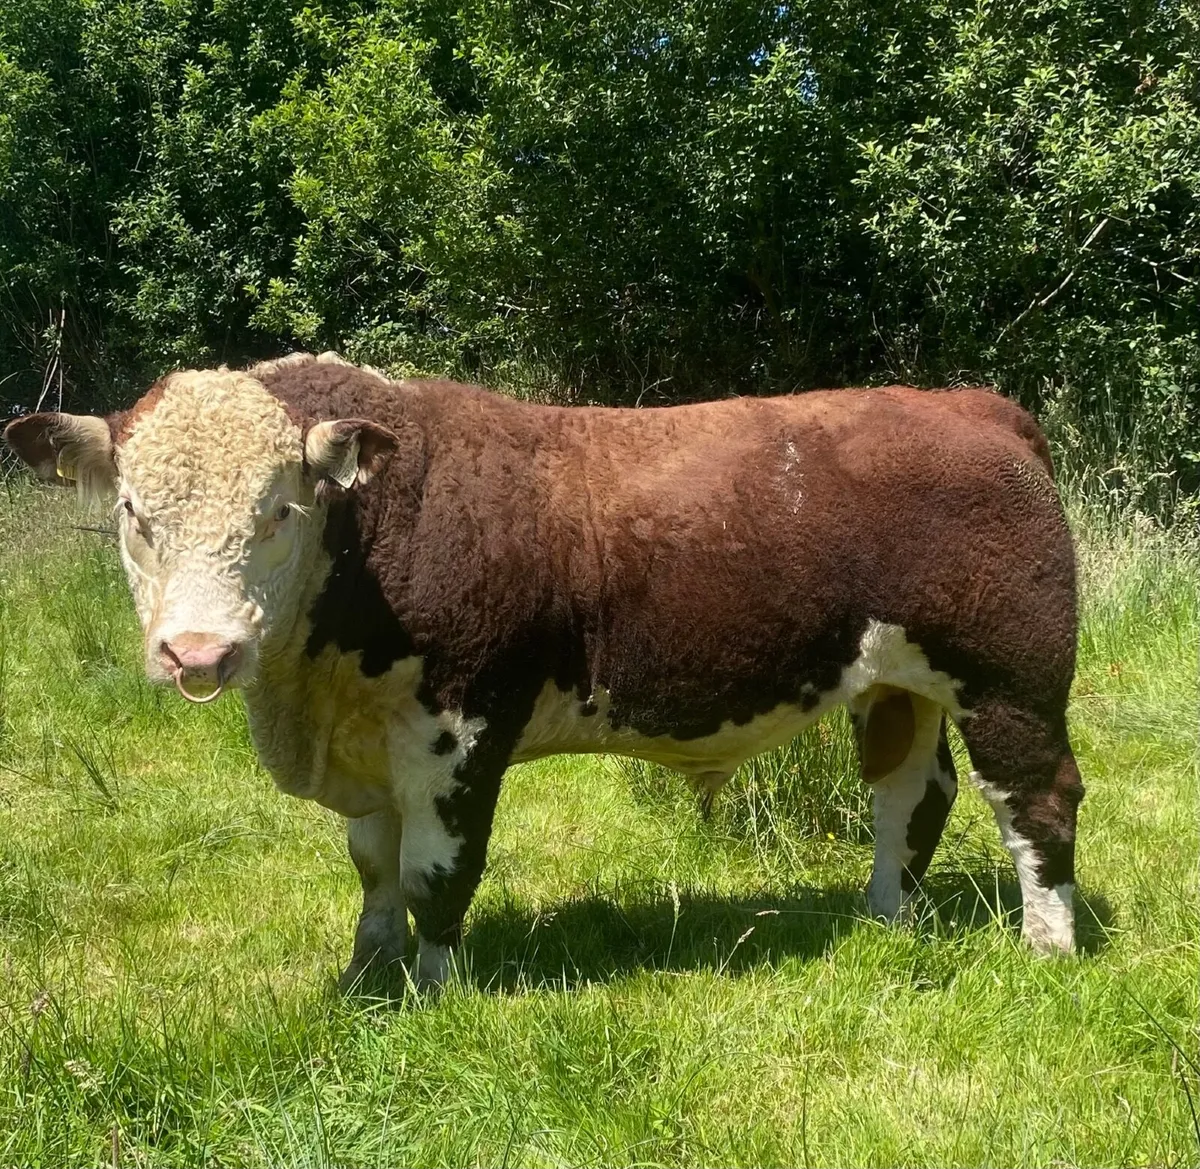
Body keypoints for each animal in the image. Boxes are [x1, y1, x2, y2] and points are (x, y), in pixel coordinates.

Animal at [5, 353, 1084, 989]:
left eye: (279, 507)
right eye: (134, 510)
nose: (198, 653)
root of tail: (971, 405)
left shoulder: (459, 727)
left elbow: (434, 872)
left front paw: (433, 994)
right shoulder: (368, 741)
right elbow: (373, 866)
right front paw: (366, 973)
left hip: (1011, 680)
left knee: (1037, 801)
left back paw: (1049, 945)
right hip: (901, 681)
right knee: (910, 793)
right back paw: (884, 916)